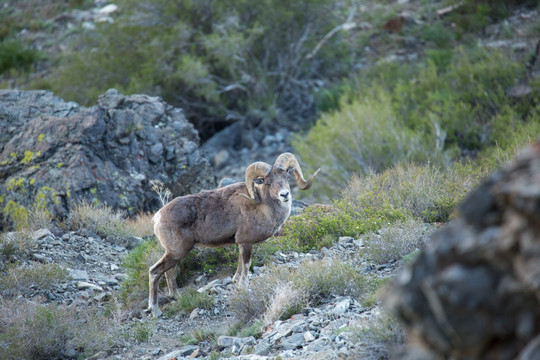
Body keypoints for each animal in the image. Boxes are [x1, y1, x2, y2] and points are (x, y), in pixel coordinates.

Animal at [146, 153, 318, 316]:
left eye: (287, 177)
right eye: (268, 182)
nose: (285, 195)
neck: (262, 207)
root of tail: (158, 217)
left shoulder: (241, 244)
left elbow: (240, 264)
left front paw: (236, 282)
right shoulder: (246, 243)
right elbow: (246, 265)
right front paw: (244, 286)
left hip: (174, 254)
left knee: (169, 272)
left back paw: (176, 297)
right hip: (177, 252)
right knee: (155, 272)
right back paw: (155, 311)